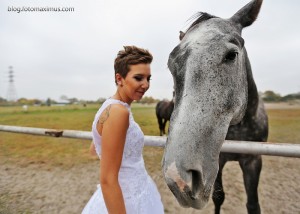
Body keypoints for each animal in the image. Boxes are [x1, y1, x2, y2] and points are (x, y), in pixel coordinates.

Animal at [163, 0, 268, 213]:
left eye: (232, 55)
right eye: (170, 64)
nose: (179, 180)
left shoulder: (253, 161)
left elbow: (253, 204)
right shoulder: (218, 160)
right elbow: (219, 197)